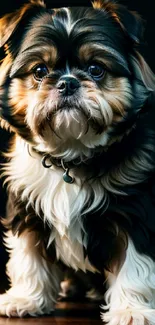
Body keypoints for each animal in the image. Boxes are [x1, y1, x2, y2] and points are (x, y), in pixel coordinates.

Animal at [0, 0, 155, 322]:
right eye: (40, 70)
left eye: (96, 70)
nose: (67, 83)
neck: (70, 156)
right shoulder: (26, 209)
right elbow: (28, 257)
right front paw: (26, 299)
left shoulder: (135, 215)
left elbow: (133, 264)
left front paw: (131, 310)